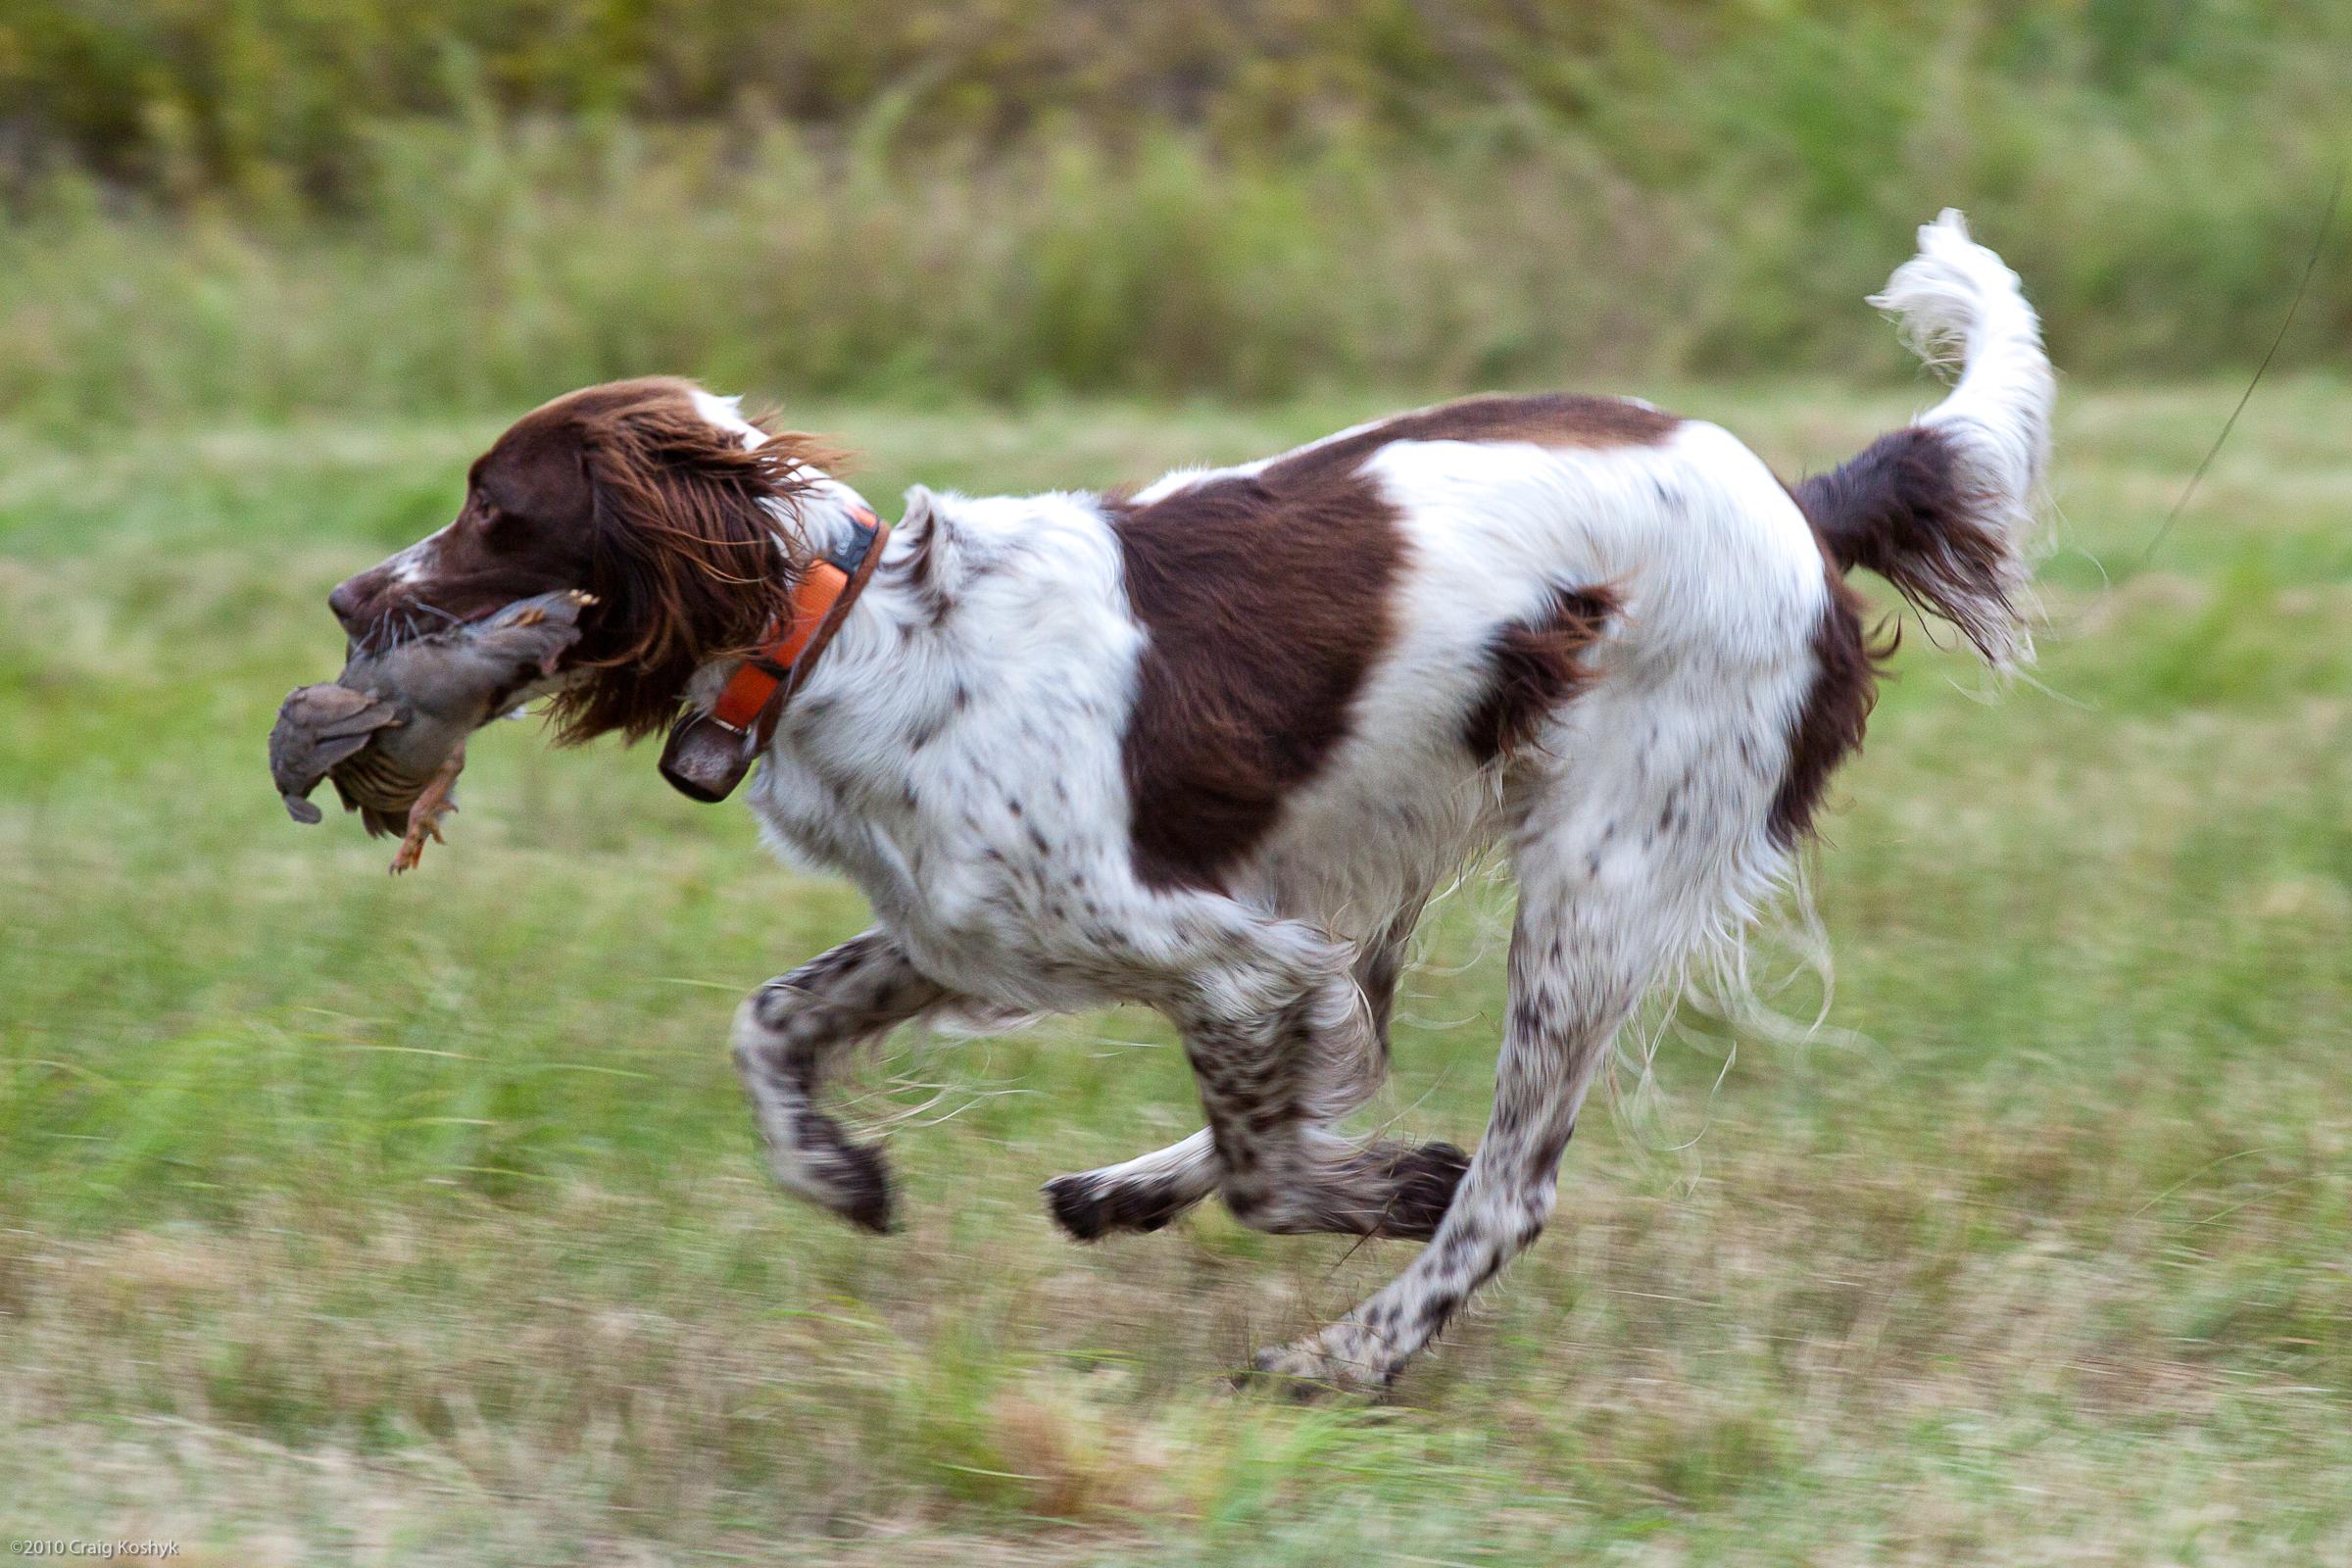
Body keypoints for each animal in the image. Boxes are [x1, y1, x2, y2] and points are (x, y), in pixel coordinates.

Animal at [336, 208, 2060, 1382]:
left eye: (496, 510)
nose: (348, 595)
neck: (845, 629)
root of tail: (1803, 499)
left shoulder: (1218, 951)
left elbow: (1278, 1169)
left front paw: (1378, 1193)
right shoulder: (981, 929)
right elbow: (770, 1022)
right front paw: (838, 1173)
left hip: (1594, 874)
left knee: (1505, 1190)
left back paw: (1343, 1359)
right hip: (1394, 824)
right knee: (1366, 1053)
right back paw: (1132, 1193)